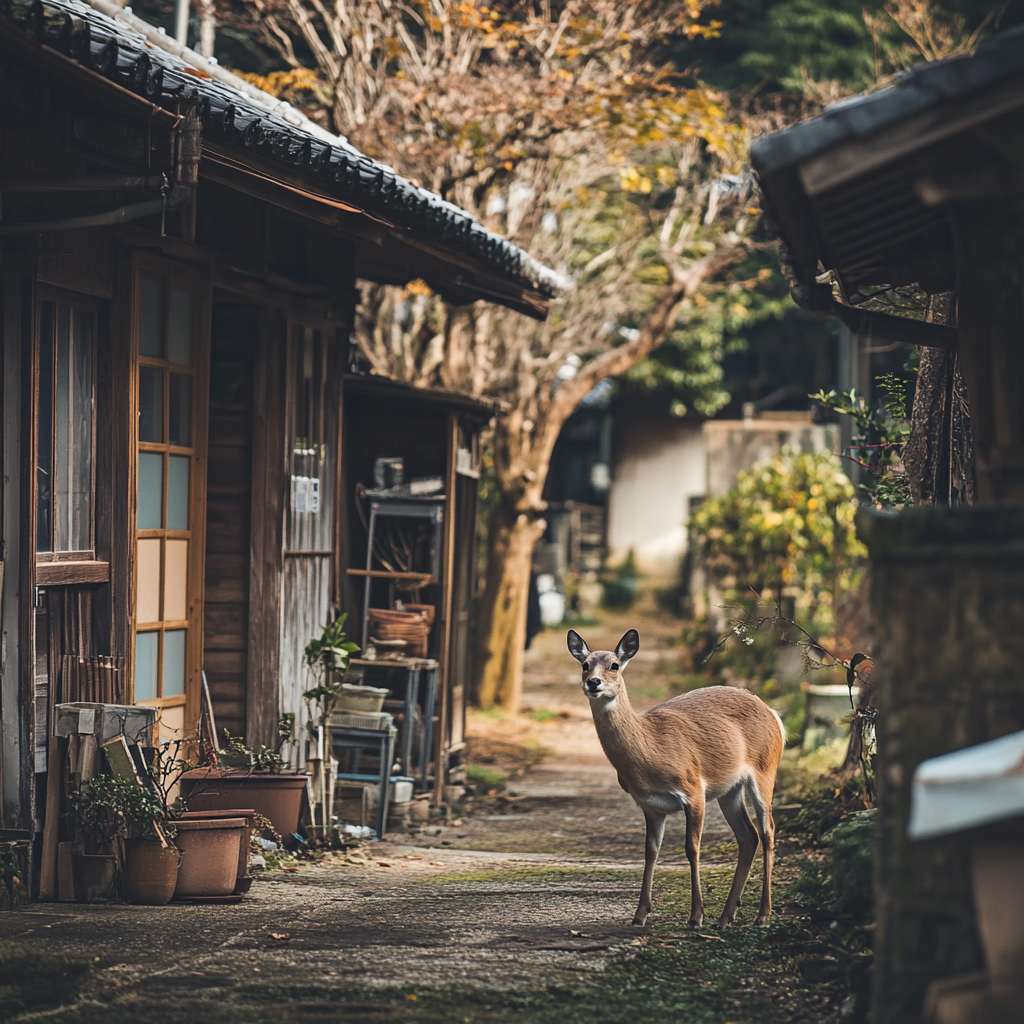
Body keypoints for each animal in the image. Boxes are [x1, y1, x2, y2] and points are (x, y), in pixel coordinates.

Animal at [569, 622, 782, 929]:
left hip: (765, 769)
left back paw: (762, 915)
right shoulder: (650, 805)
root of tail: (774, 714)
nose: (593, 682)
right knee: (748, 836)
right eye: (585, 664)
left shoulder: (694, 790)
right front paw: (640, 914)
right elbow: (650, 851)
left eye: (615, 665)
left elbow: (691, 848)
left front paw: (696, 916)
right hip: (731, 789)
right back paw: (725, 917)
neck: (650, 752)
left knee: (767, 832)